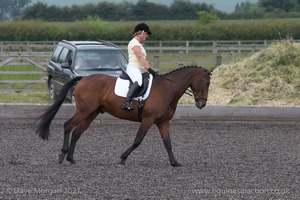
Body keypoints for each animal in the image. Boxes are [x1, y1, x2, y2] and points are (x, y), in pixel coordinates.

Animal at [36, 65, 212, 166]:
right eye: (206, 82)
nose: (202, 104)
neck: (167, 89)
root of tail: (83, 78)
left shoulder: (163, 122)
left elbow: (167, 143)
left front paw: (174, 162)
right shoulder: (148, 120)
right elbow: (137, 140)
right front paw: (122, 158)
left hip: (91, 113)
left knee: (77, 133)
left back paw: (71, 159)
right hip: (84, 111)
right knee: (68, 126)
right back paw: (62, 155)